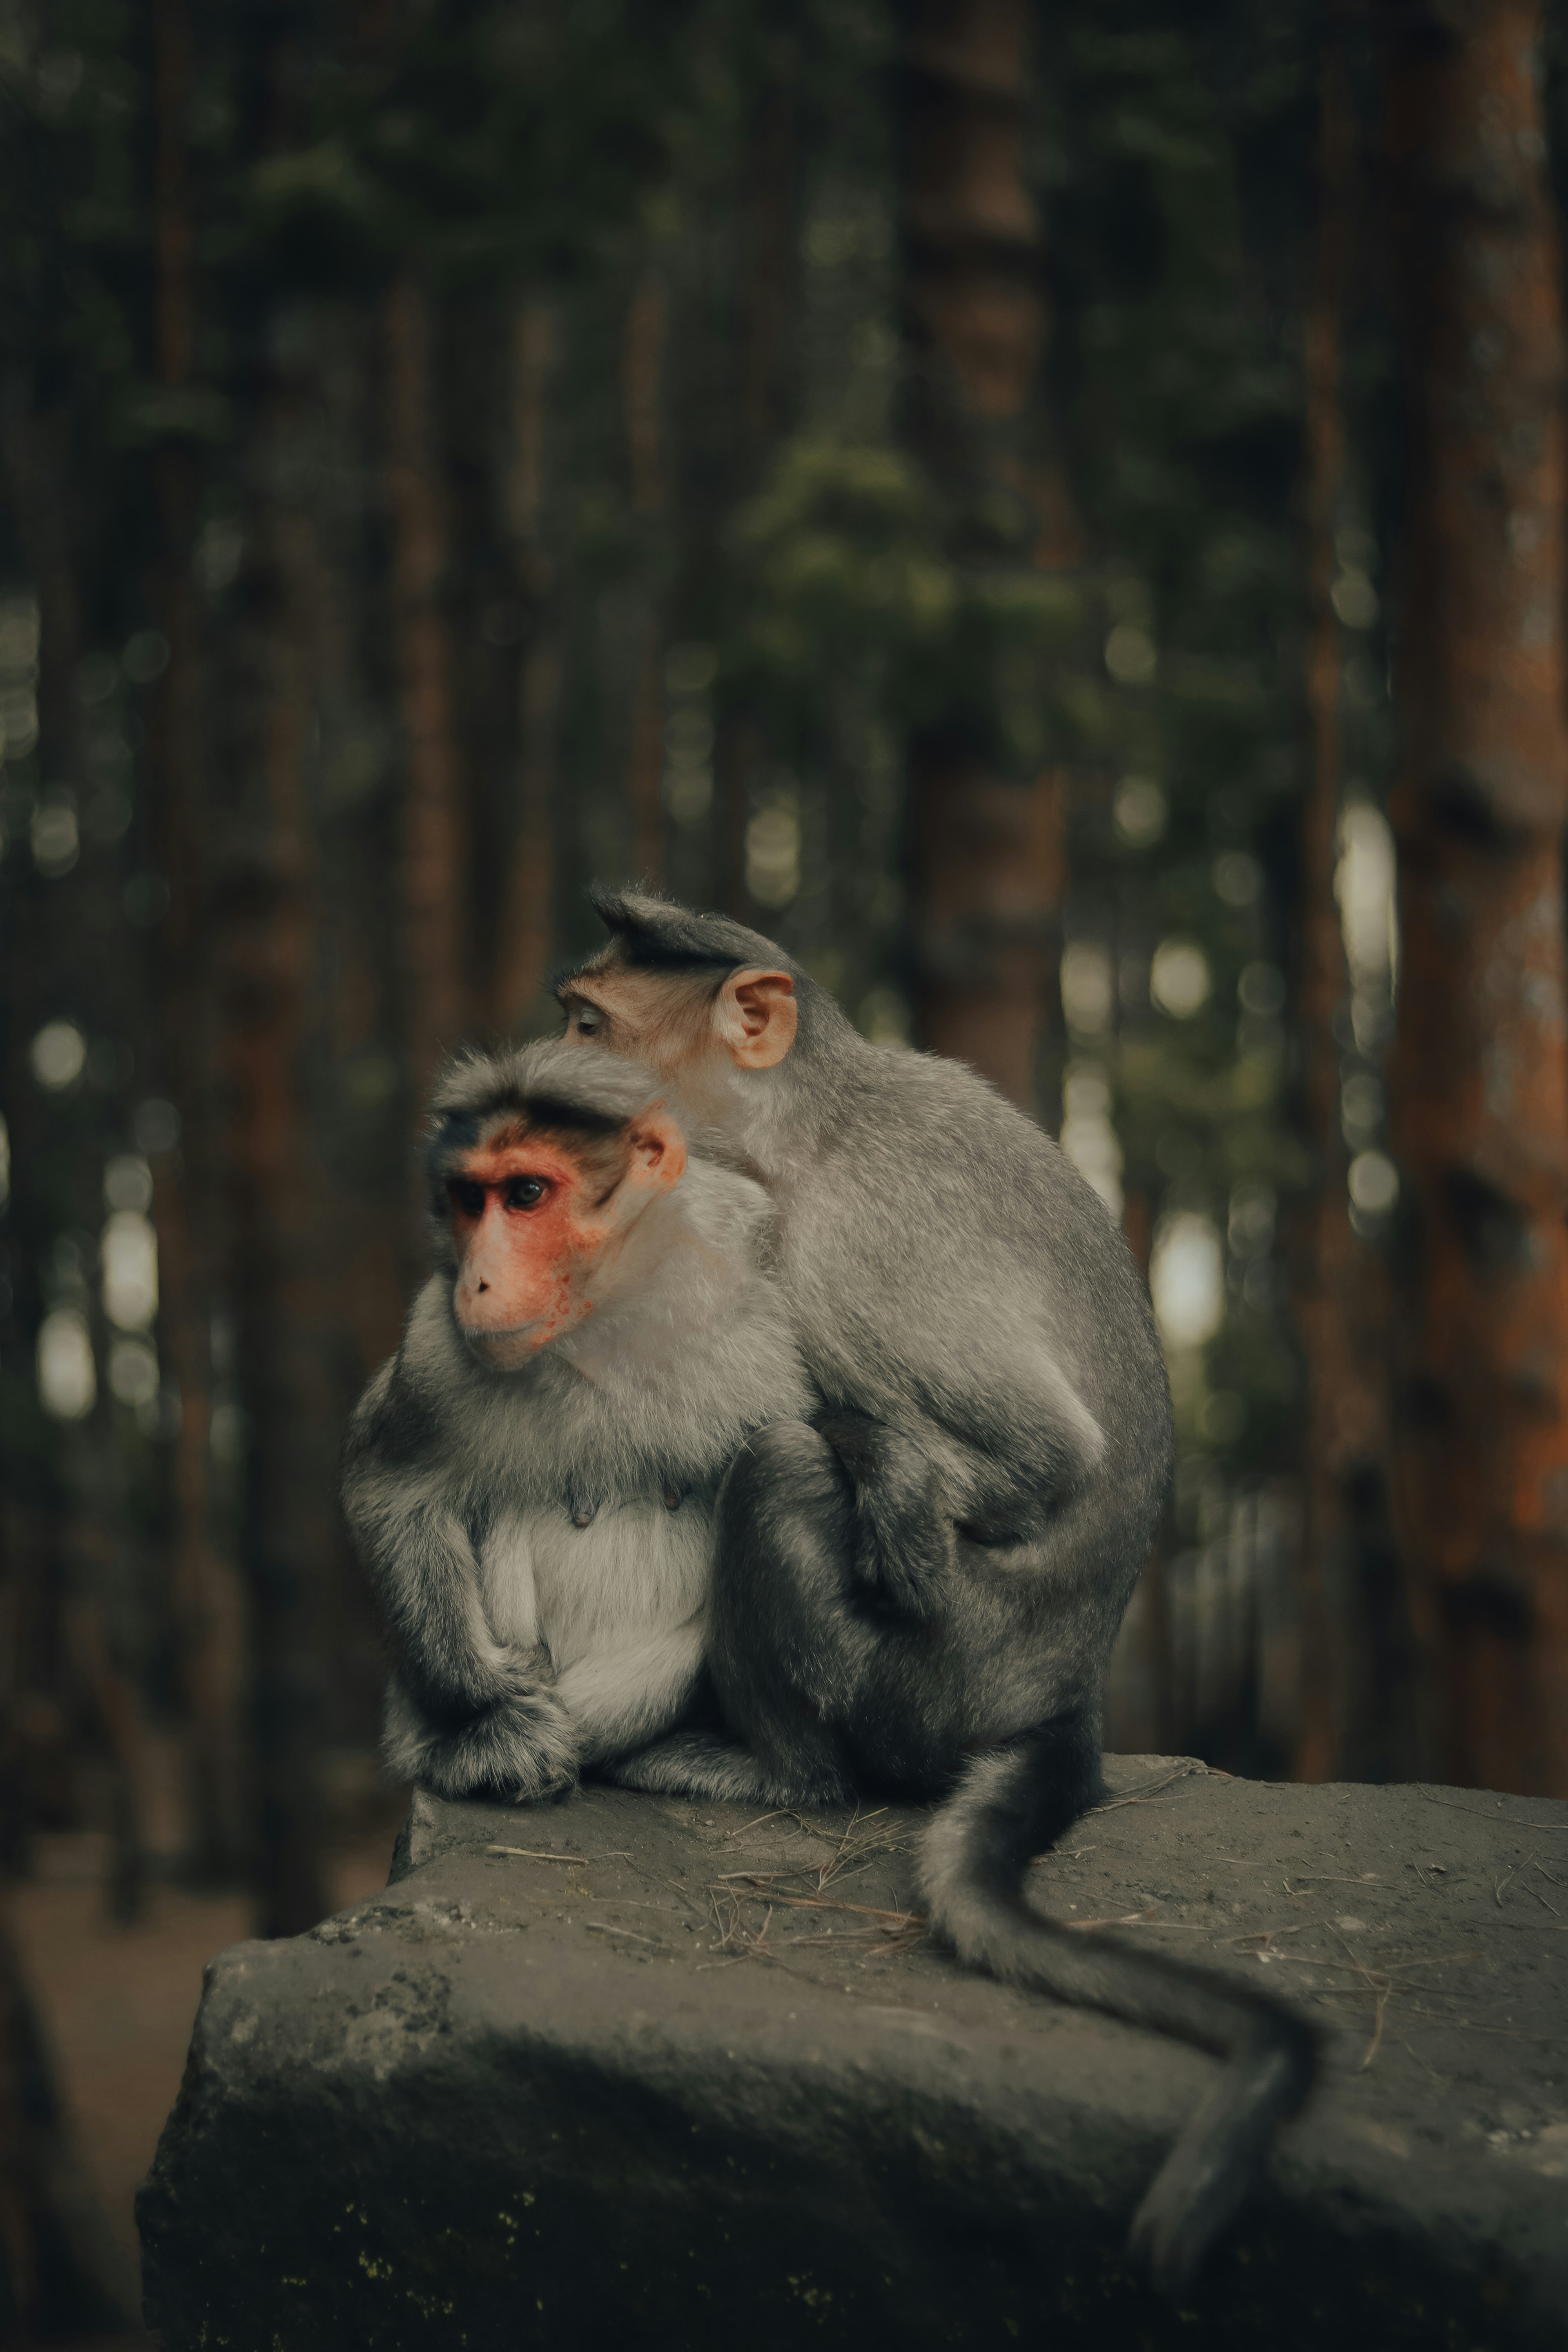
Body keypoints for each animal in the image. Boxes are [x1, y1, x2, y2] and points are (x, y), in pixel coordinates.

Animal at [341, 1039, 814, 1804]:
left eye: (527, 1194)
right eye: (470, 1199)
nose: (477, 1280)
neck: (606, 1326)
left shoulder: (767, 1308)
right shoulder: (438, 1347)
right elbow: (393, 1488)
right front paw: (490, 1695)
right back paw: (482, 1749)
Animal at [555, 888, 1318, 2291]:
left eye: (589, 1026)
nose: (547, 1079)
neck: (801, 1136)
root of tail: (1060, 1694)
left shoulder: (852, 1247)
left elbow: (1041, 1460)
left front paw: (906, 1480)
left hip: (912, 1685)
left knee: (782, 1463)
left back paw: (783, 1770)